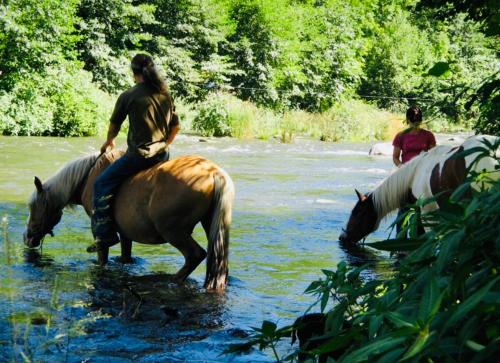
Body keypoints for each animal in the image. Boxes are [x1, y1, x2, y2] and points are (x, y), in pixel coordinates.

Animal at [23, 149, 234, 292]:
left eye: (33, 207)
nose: (27, 238)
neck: (86, 179)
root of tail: (213, 172)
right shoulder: (125, 232)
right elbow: (126, 255)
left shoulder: (101, 230)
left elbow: (102, 255)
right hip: (210, 225)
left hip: (173, 231)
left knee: (195, 255)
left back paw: (171, 281)